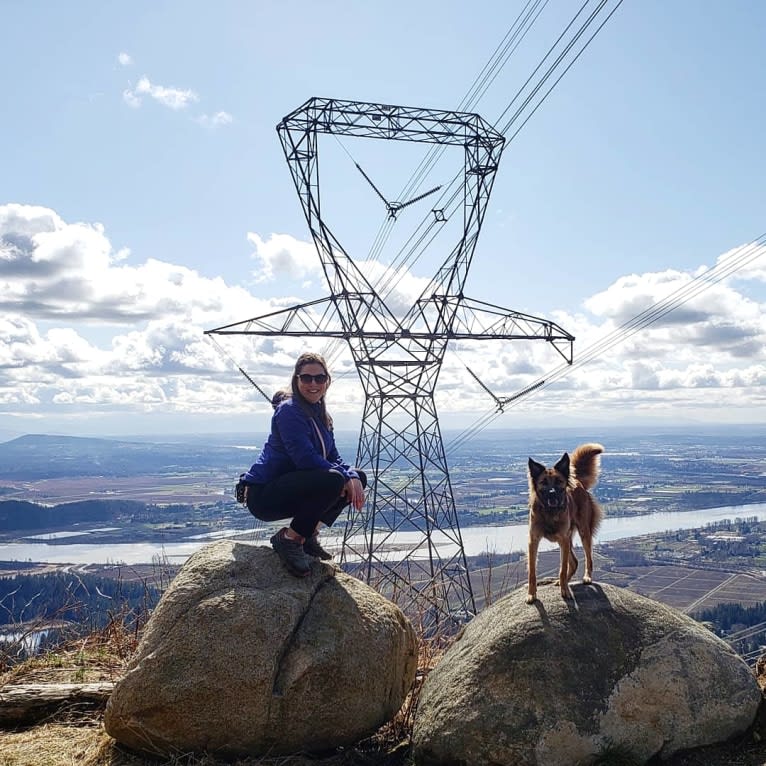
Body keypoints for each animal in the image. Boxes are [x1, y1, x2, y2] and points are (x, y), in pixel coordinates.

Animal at [528, 444, 608, 608]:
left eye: (558, 481)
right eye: (543, 482)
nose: (552, 493)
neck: (550, 512)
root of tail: (577, 480)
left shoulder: (563, 540)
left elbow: (562, 569)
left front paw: (565, 591)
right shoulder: (534, 541)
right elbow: (532, 571)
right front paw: (531, 595)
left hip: (583, 533)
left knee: (588, 558)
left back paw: (586, 577)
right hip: (566, 540)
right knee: (575, 562)